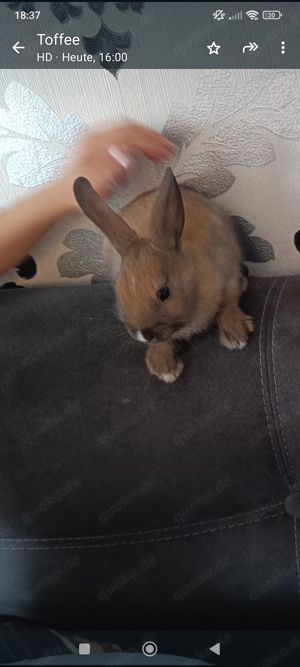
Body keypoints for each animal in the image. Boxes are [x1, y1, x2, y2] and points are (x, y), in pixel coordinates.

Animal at [73, 167, 253, 384]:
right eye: (119, 294)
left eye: (164, 293)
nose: (142, 334)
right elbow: (163, 343)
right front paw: (163, 368)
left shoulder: (228, 272)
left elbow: (228, 303)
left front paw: (236, 335)